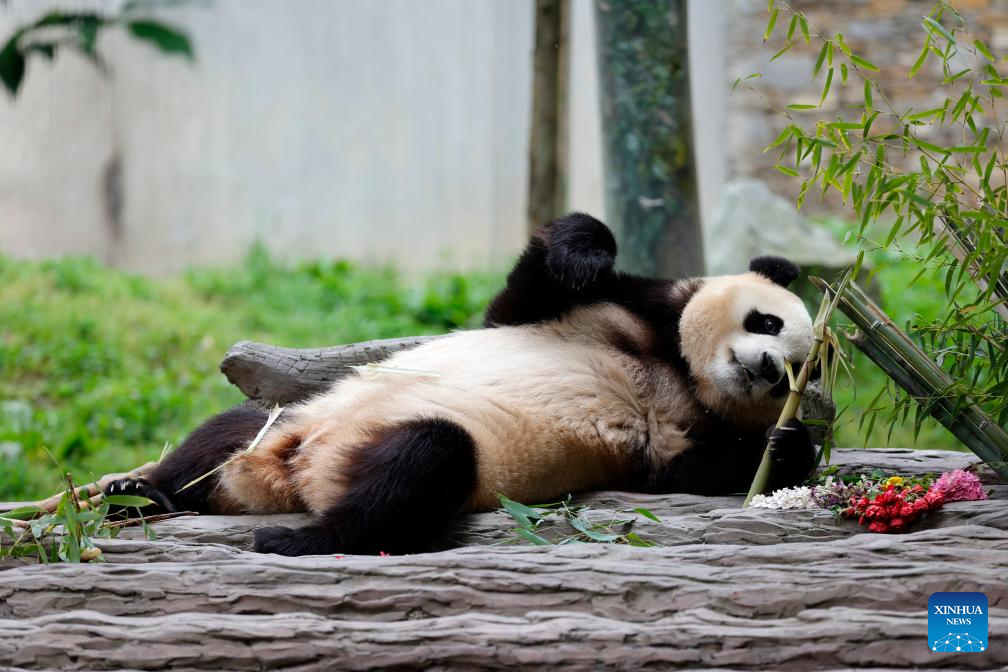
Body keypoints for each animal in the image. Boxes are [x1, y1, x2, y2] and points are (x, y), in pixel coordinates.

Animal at [108, 212, 818, 556]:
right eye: (767, 320)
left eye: (791, 369)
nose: (761, 366)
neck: (677, 364)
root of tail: (290, 476)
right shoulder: (611, 311)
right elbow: (521, 297)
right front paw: (583, 250)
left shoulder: (668, 433)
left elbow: (692, 469)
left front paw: (786, 445)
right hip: (293, 422)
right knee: (225, 434)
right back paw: (140, 495)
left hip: (389, 452)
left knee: (421, 460)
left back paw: (299, 538)